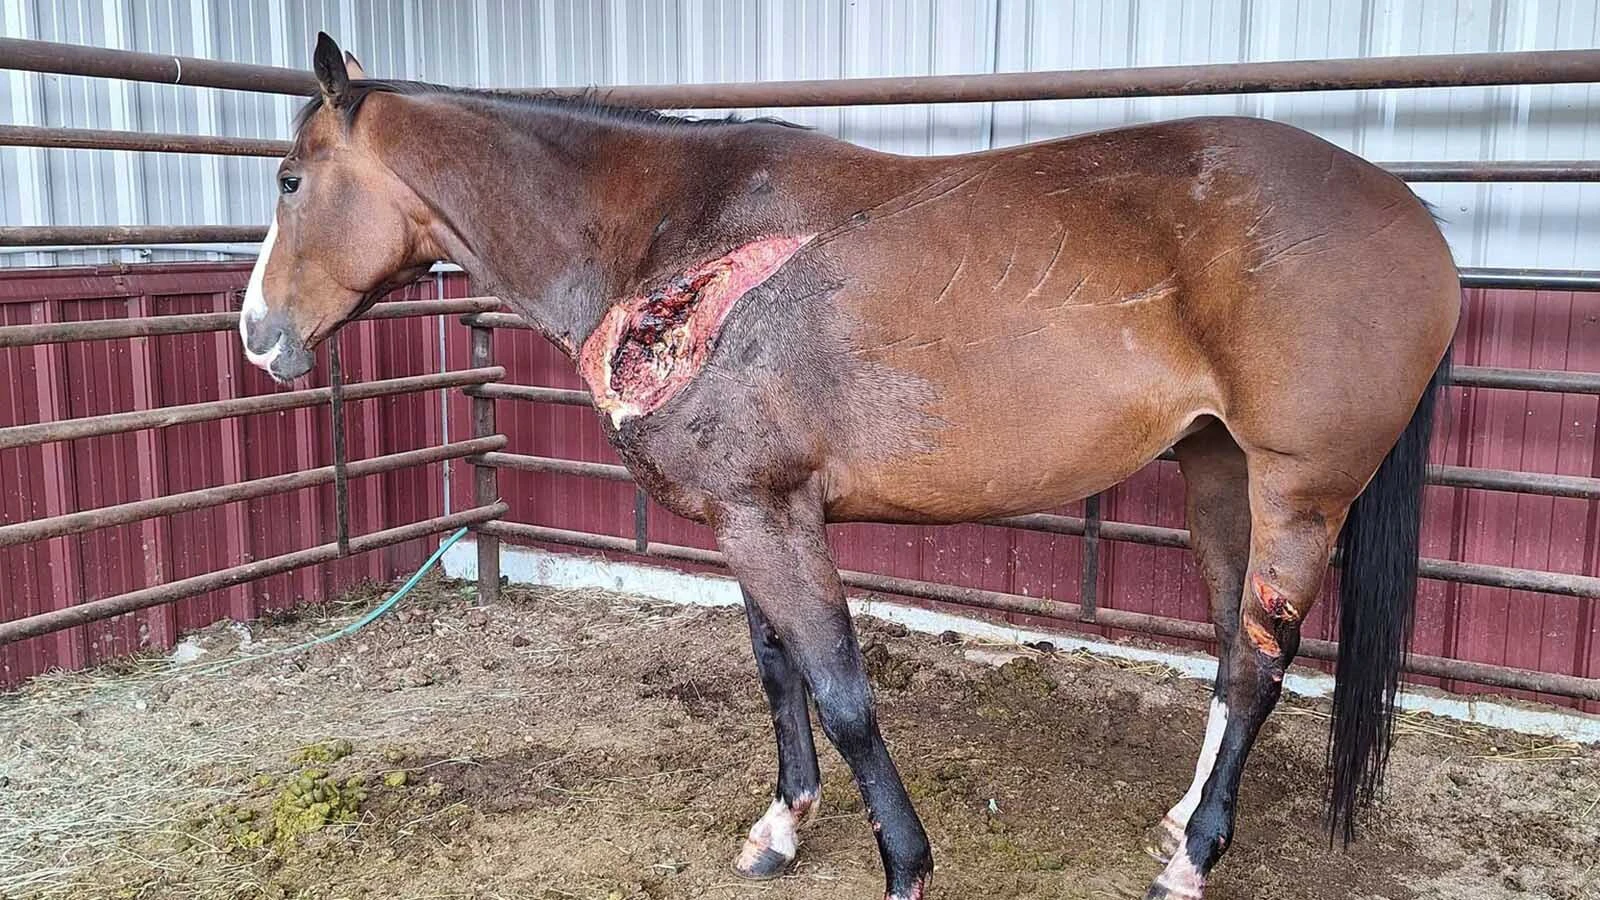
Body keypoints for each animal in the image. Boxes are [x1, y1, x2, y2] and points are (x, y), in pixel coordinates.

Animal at [239, 33, 1459, 900]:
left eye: (290, 181)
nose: (256, 336)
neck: (675, 246)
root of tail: (1413, 216)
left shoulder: (773, 519)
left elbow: (842, 692)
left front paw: (905, 864)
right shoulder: (744, 513)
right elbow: (779, 675)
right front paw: (783, 825)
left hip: (1298, 493)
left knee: (1259, 669)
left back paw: (1193, 860)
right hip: (1218, 477)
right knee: (1230, 652)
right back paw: (1179, 821)